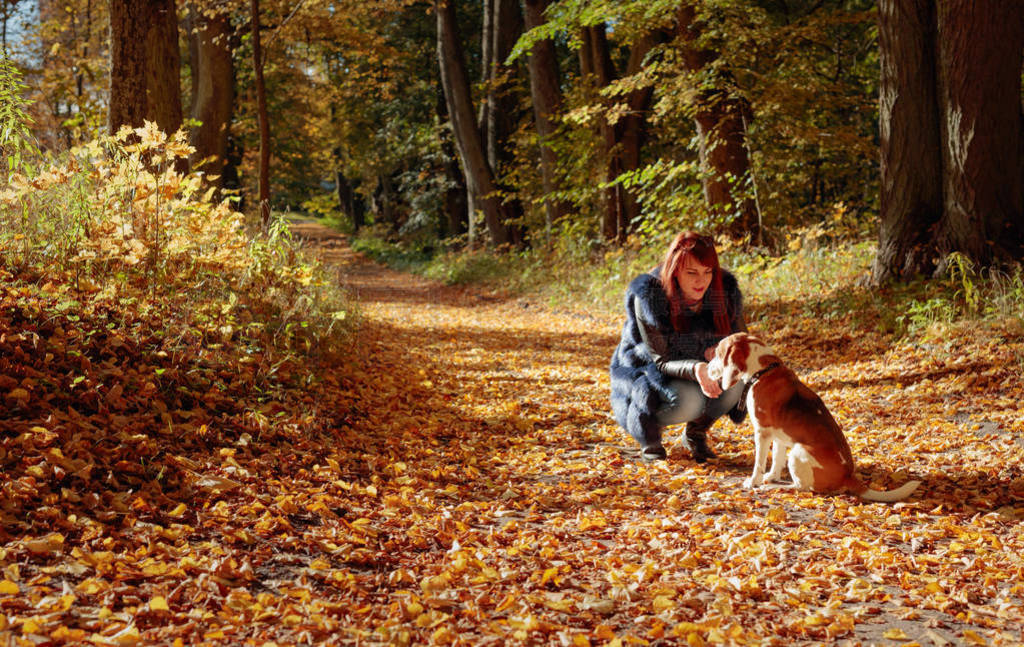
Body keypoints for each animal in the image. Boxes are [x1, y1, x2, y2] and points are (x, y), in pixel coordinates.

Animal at [704, 331, 921, 503]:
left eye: (718, 353)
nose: (706, 368)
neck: (764, 371)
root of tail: (848, 476)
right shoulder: (778, 436)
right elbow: (776, 460)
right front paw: (771, 476)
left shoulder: (762, 432)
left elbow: (759, 462)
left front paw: (754, 481)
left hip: (799, 451)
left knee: (803, 488)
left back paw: (774, 488)